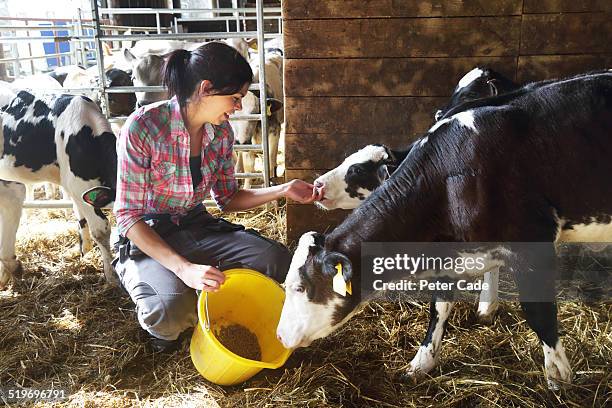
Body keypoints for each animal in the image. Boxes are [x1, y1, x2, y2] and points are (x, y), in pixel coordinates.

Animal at [0, 90, 118, 286]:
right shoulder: (78, 184)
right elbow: (101, 229)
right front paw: (112, 276)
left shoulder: (75, 186)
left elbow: (80, 215)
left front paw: (84, 252)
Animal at [278, 71, 612, 390]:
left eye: (301, 288)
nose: (280, 336)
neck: (452, 178)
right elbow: (438, 307)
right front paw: (421, 363)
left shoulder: (532, 242)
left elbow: (539, 313)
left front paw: (558, 377)